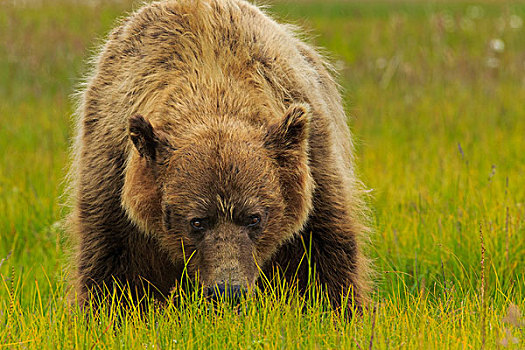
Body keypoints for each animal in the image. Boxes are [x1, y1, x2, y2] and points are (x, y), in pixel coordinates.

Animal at [68, 0, 368, 312]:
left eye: (254, 217)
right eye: (197, 221)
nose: (228, 290)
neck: (212, 83)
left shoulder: (314, 164)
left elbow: (324, 258)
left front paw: (340, 309)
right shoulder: (112, 175)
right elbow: (114, 270)